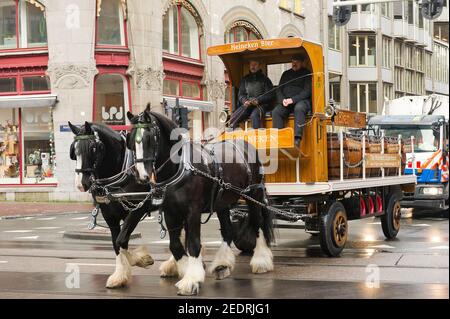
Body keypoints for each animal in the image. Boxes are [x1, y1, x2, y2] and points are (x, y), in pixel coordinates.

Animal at [67, 121, 156, 288]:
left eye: (93, 148)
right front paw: (121, 275)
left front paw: (139, 259)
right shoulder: (110, 215)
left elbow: (122, 240)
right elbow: (117, 243)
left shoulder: (137, 209)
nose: (81, 184)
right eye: (74, 150)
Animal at [126, 105, 274, 298]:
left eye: (150, 138)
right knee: (228, 231)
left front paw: (191, 280)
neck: (180, 168)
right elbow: (176, 245)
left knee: (258, 223)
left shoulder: (193, 211)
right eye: (130, 141)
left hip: (254, 195)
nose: (141, 175)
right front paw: (185, 270)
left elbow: (193, 243)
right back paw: (222, 264)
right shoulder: (171, 213)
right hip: (222, 202)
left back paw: (261, 261)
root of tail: (248, 146)